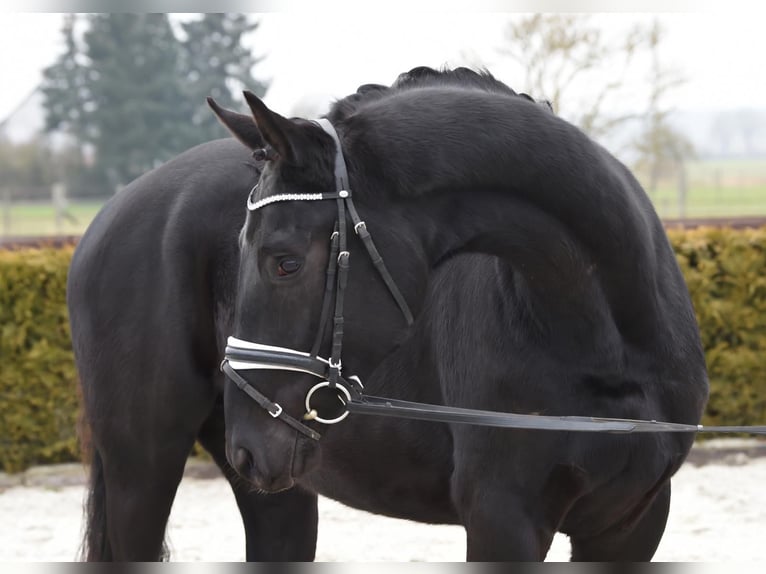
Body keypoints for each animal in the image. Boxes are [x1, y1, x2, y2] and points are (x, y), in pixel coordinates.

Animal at [69, 66, 712, 564]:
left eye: (283, 261)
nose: (249, 439)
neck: (602, 340)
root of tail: (111, 212)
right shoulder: (504, 517)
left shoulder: (634, 522)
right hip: (144, 469)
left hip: (276, 491)